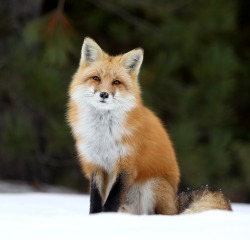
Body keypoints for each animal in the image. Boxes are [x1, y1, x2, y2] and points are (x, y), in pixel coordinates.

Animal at [67, 38, 231, 216]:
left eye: (116, 82)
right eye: (96, 78)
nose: (104, 94)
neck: (103, 134)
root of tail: (175, 203)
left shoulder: (127, 165)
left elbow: (112, 200)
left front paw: (107, 217)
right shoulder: (95, 165)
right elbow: (95, 202)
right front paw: (95, 218)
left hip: (152, 185)